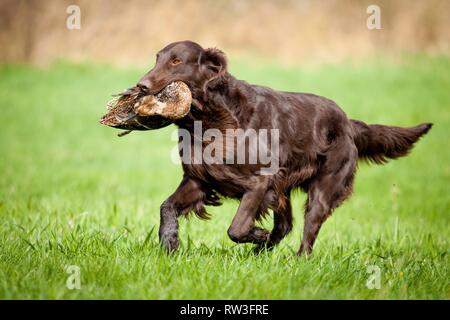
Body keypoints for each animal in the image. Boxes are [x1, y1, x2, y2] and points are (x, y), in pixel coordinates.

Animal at [135, 40, 430, 255]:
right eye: (157, 58)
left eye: (176, 61)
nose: (141, 85)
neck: (213, 119)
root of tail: (349, 123)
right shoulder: (199, 179)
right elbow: (166, 207)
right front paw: (170, 242)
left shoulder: (259, 181)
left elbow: (237, 227)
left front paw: (257, 233)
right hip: (283, 190)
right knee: (286, 225)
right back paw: (260, 253)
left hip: (323, 188)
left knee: (307, 228)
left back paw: (296, 259)